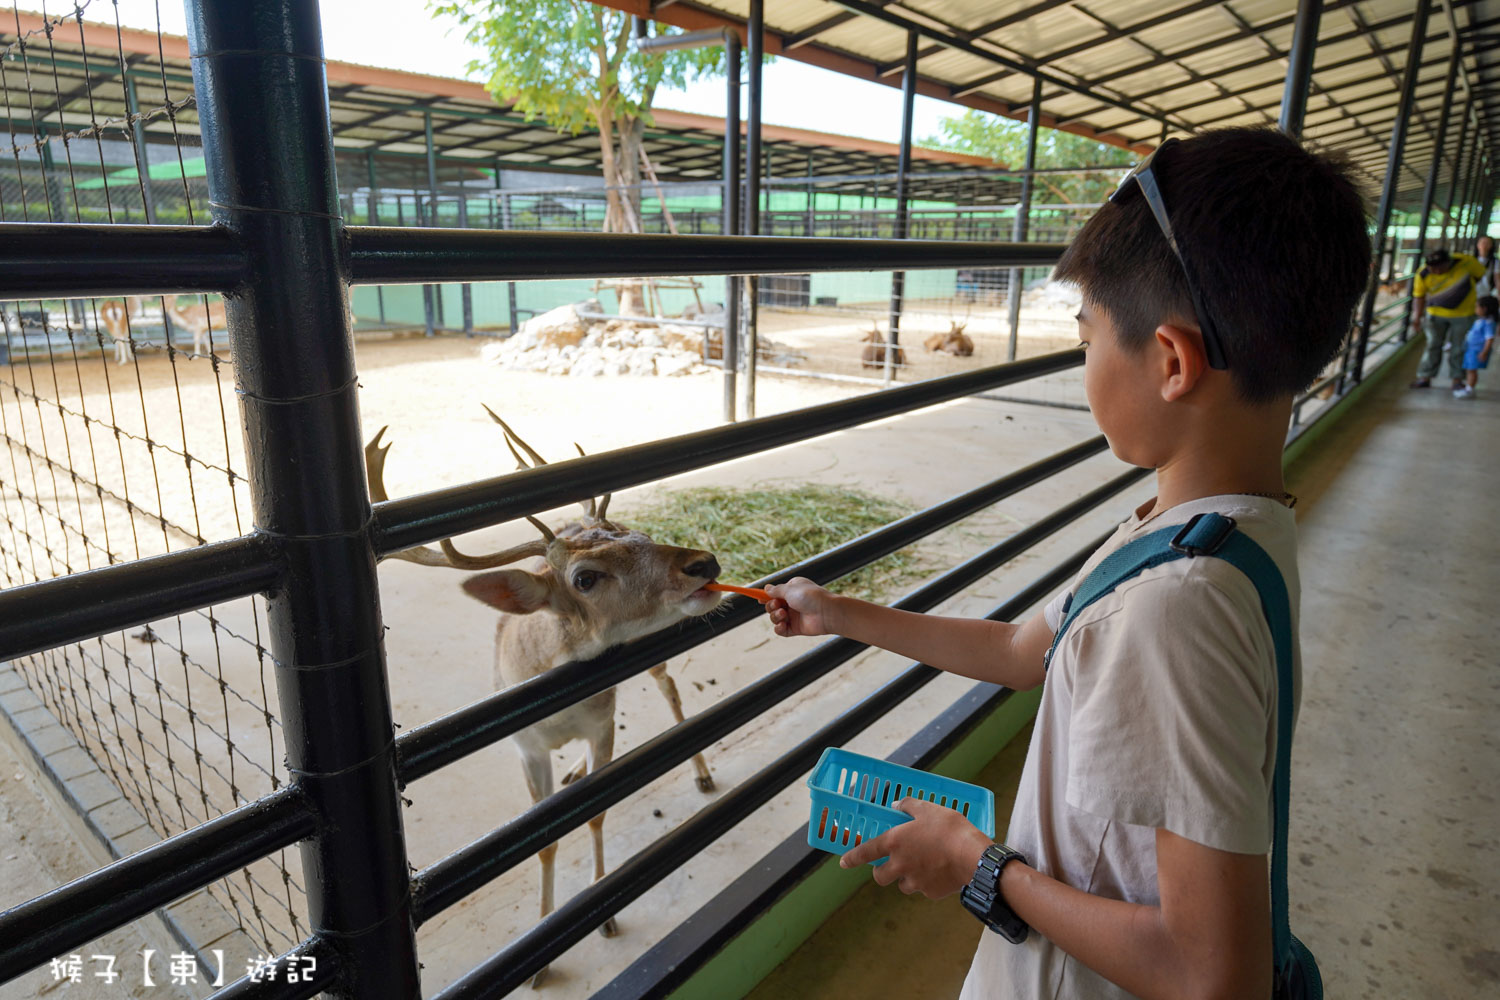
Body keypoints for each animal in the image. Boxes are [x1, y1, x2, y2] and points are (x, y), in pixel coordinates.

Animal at [372, 410, 729, 989]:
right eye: (585, 578)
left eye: (643, 536)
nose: (703, 562)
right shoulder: (526, 747)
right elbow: (544, 839)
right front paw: (540, 963)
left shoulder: (603, 723)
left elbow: (596, 815)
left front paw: (604, 915)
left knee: (670, 688)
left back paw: (699, 772)